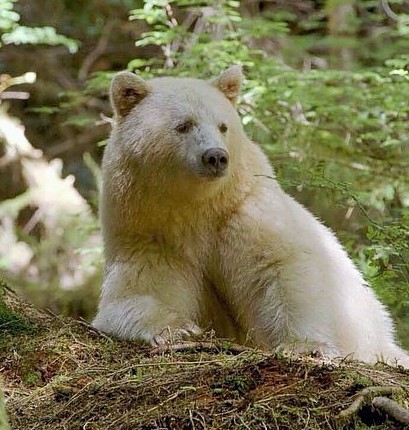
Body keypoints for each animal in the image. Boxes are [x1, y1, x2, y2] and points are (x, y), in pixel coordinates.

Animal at [92, 64, 408, 366]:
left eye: (223, 126)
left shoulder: (244, 213)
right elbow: (139, 291)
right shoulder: (152, 235)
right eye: (183, 125)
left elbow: (284, 267)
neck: (197, 208)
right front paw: (178, 328)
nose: (216, 157)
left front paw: (304, 346)